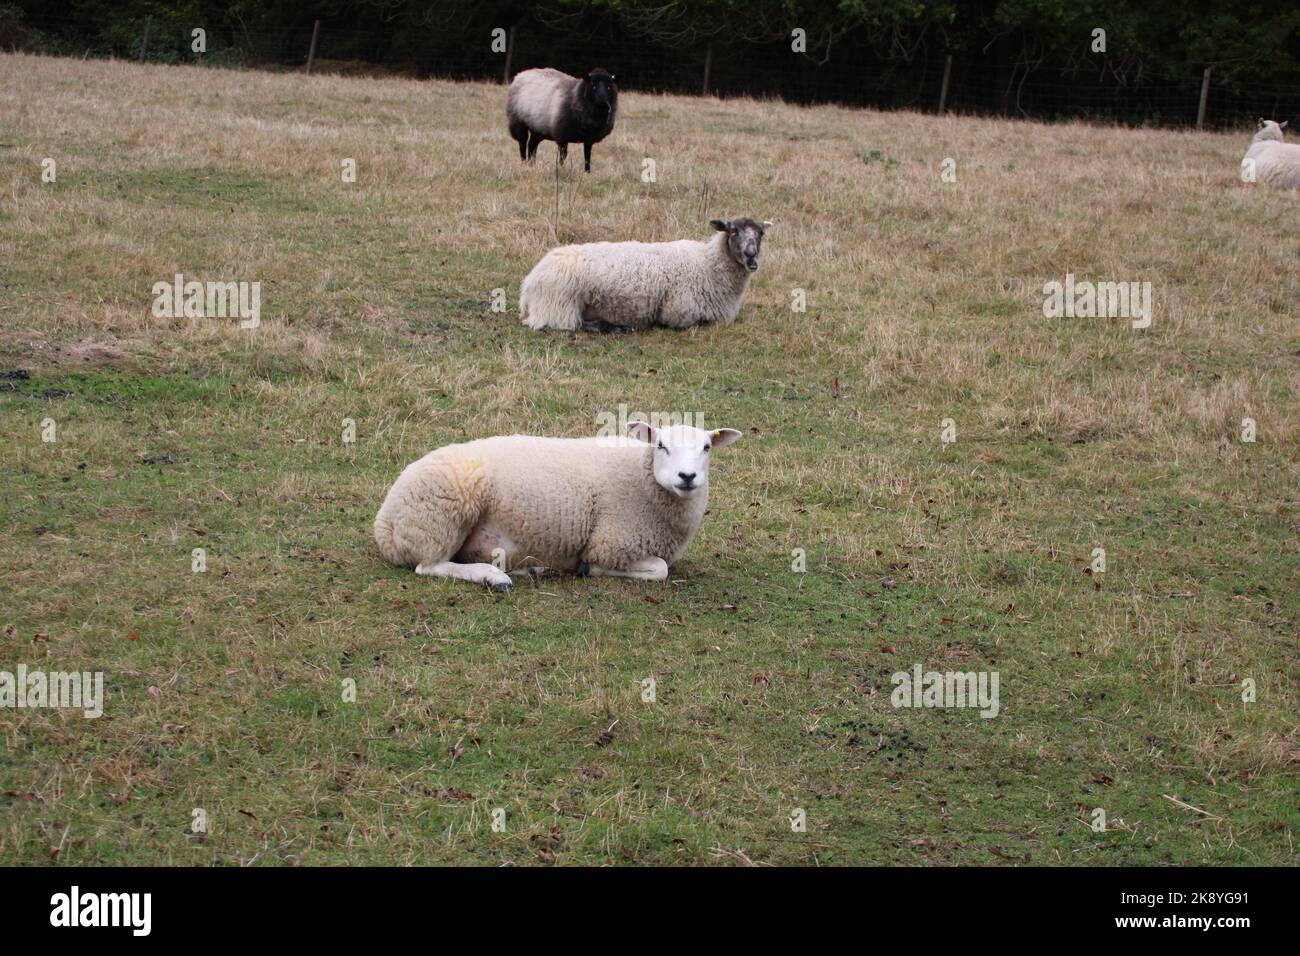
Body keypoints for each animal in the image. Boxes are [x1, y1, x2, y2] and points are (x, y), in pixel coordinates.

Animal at [373, 420, 743, 590]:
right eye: (662, 445)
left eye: (707, 447)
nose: (687, 476)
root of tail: (384, 524)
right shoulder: (611, 543)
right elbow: (659, 569)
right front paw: (587, 569)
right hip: (441, 517)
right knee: (430, 566)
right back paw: (492, 577)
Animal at [519, 217, 769, 333]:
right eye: (733, 231)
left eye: (760, 234)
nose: (751, 257)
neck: (708, 263)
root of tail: (530, 282)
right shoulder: (679, 313)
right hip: (560, 306)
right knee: (573, 325)